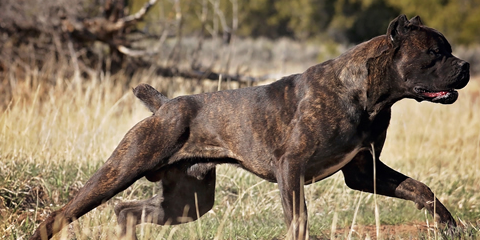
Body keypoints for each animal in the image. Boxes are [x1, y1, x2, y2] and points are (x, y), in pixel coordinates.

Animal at [29, 15, 468, 240]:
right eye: (435, 53)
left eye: (446, 50)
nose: (464, 66)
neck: (368, 96)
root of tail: (165, 105)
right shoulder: (291, 168)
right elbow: (298, 219)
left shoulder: (364, 170)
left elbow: (421, 189)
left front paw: (448, 225)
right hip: (120, 170)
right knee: (62, 214)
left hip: (186, 202)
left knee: (127, 210)